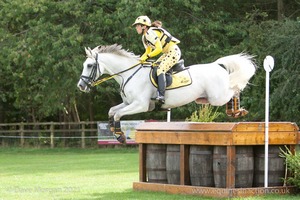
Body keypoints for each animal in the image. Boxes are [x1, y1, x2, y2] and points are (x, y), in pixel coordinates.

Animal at [77, 44, 255, 144]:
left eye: (90, 65)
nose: (81, 86)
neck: (129, 74)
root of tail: (217, 65)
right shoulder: (129, 103)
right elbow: (112, 111)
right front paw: (114, 131)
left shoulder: (141, 105)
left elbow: (117, 114)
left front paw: (120, 136)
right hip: (207, 98)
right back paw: (235, 111)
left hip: (218, 97)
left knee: (235, 88)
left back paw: (237, 111)